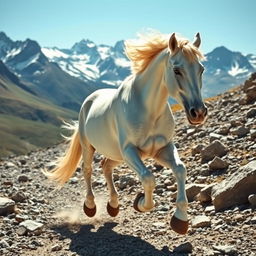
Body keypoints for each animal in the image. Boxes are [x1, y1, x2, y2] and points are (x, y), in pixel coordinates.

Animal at [45, 32, 206, 236]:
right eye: (177, 70)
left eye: (201, 69)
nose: (198, 113)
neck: (148, 110)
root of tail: (89, 100)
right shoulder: (130, 151)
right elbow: (148, 178)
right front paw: (140, 203)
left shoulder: (162, 149)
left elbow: (180, 169)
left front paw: (180, 220)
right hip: (91, 147)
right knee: (87, 169)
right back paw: (90, 207)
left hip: (118, 155)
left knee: (106, 166)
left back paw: (113, 206)